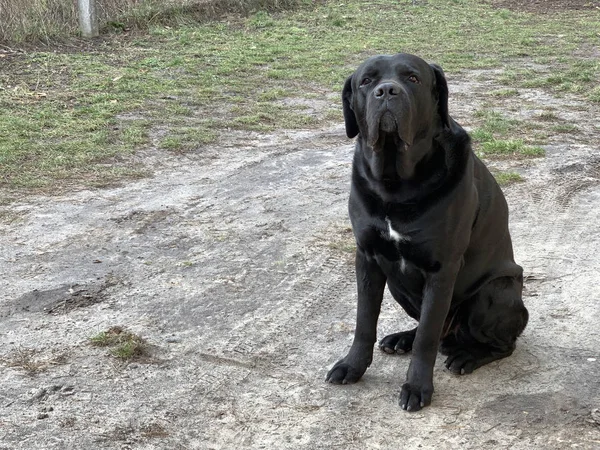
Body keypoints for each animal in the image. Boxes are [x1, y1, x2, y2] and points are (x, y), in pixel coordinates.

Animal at [326, 52, 528, 412]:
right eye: (366, 81)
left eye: (413, 78)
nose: (386, 91)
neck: (396, 183)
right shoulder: (367, 257)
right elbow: (364, 321)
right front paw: (353, 366)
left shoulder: (442, 268)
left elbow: (428, 337)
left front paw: (417, 387)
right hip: (397, 285)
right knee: (428, 325)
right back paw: (401, 338)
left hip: (494, 292)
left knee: (498, 344)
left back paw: (466, 356)